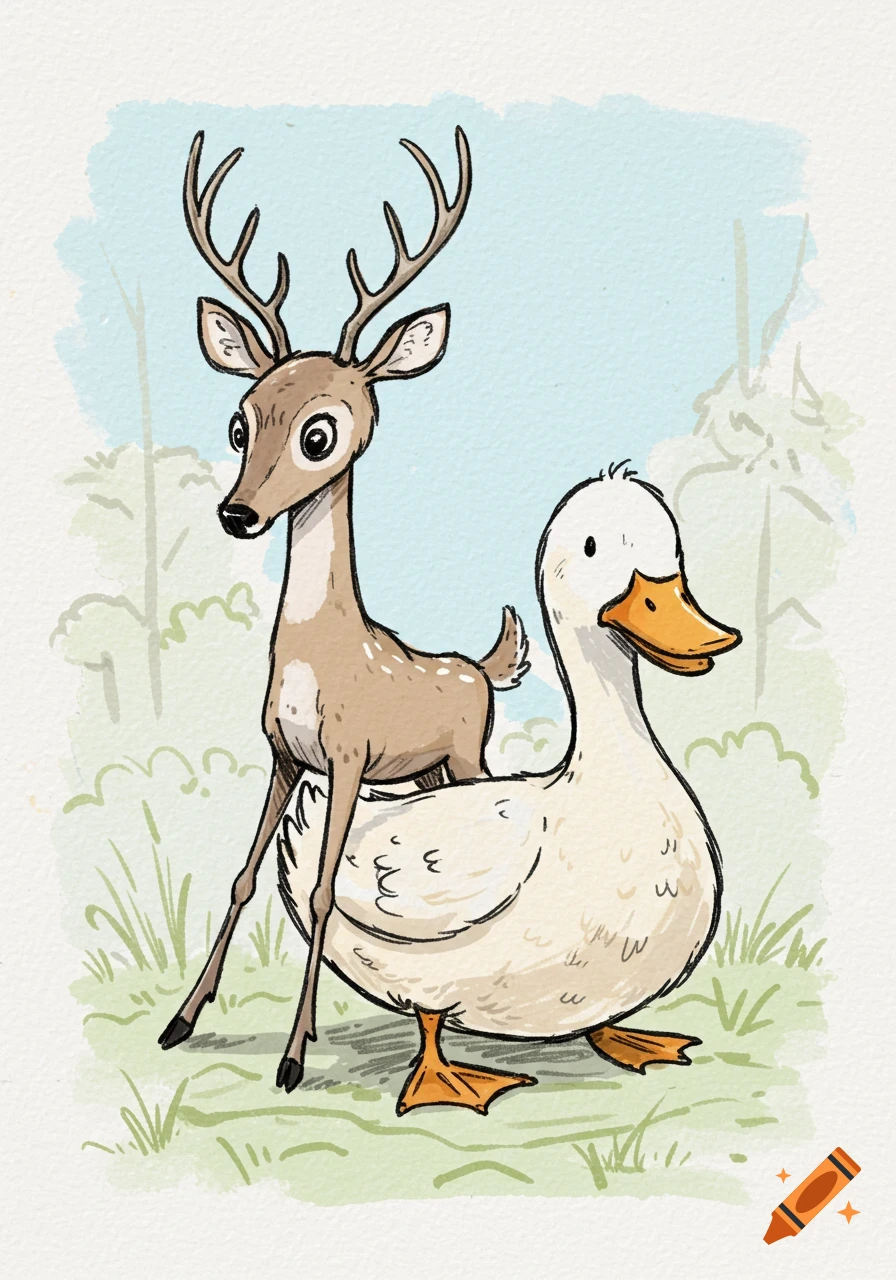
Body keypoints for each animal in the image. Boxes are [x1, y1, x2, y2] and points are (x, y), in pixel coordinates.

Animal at [158, 126, 530, 1092]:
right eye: (240, 423)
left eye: (319, 432)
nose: (237, 514)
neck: (320, 657)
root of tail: (480, 666)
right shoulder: (285, 756)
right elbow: (243, 877)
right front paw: (181, 1020)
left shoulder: (352, 761)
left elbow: (323, 888)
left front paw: (294, 1056)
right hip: (428, 773)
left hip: (464, 759)